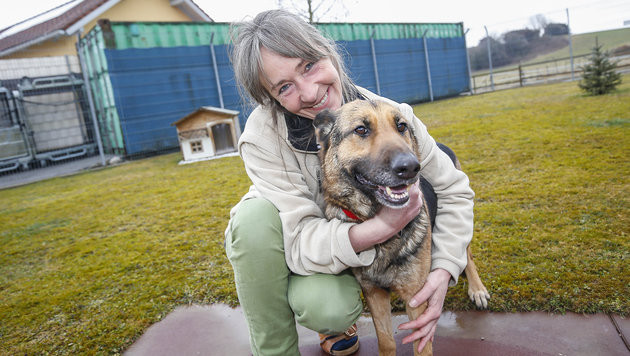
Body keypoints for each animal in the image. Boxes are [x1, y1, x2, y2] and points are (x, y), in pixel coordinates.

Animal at [314, 99, 492, 356]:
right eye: (361, 130)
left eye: (401, 126)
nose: (410, 167)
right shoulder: (374, 294)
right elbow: (386, 341)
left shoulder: (416, 299)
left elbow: (422, 346)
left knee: (466, 255)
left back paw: (476, 289)